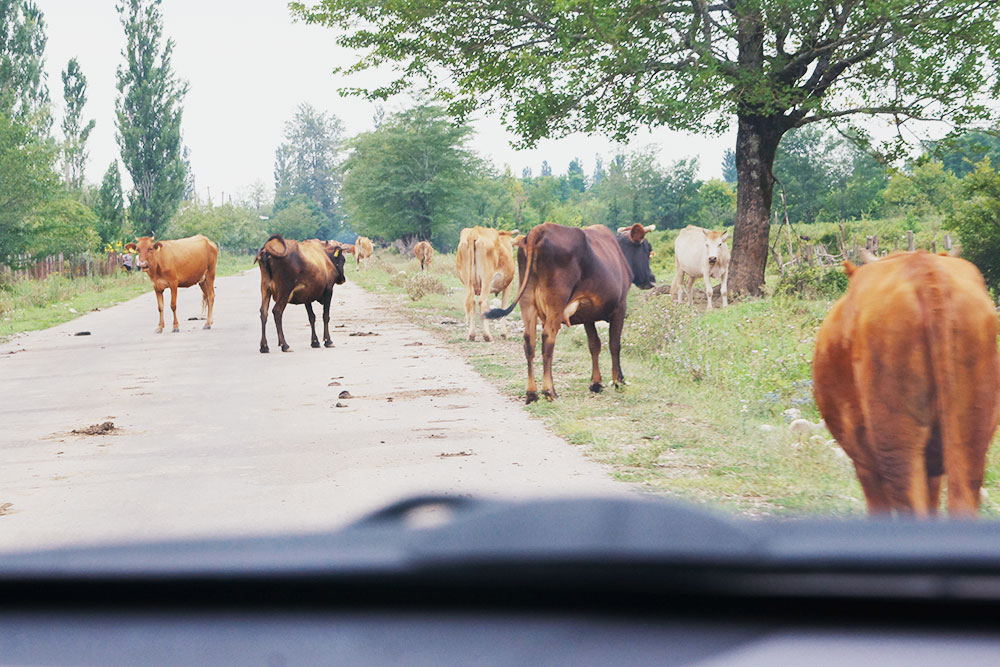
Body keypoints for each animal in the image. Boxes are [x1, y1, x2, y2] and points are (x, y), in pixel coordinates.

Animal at [486, 222, 656, 404]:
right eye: (647, 249)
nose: (652, 279)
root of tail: (540, 229)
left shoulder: (587, 315)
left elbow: (594, 345)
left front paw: (596, 382)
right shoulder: (620, 307)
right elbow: (614, 344)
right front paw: (618, 381)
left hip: (527, 301)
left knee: (529, 341)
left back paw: (532, 392)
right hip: (555, 303)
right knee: (548, 338)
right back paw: (549, 390)